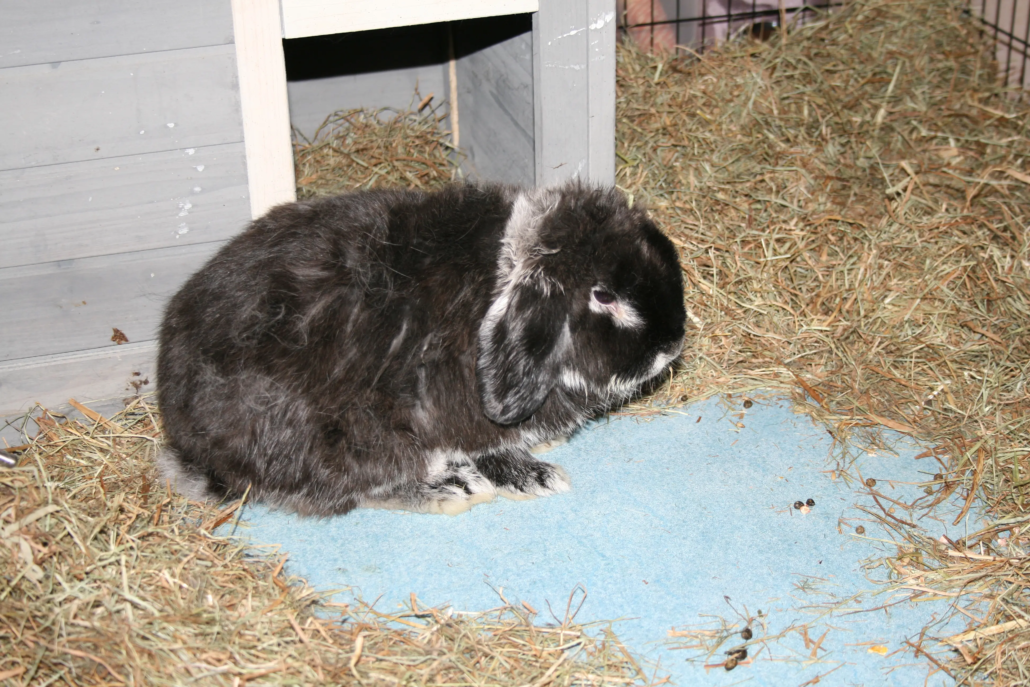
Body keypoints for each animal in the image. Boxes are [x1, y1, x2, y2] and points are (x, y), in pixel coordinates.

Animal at [155, 182, 687, 516]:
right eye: (603, 295)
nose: (672, 345)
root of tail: (187, 444)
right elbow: (488, 447)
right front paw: (531, 476)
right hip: (353, 440)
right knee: (346, 491)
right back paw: (448, 489)